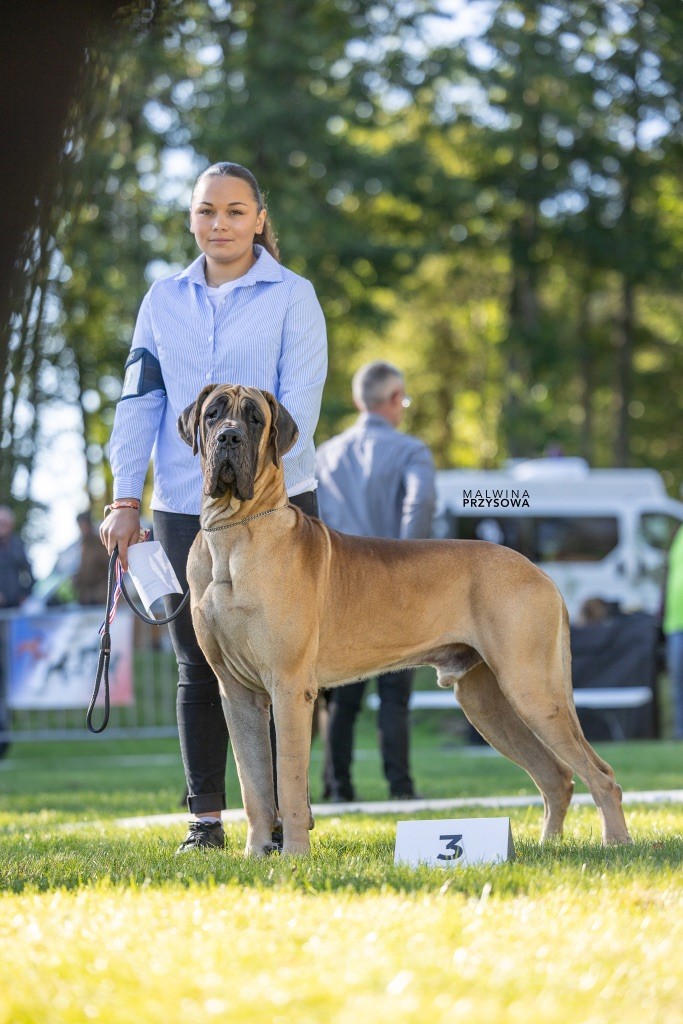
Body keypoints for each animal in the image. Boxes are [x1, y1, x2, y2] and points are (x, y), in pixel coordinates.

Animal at [179, 385, 634, 856]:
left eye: (254, 419)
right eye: (213, 415)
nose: (228, 437)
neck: (233, 534)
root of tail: (540, 572)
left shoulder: (288, 688)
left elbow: (286, 781)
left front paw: (294, 856)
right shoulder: (238, 694)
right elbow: (253, 785)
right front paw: (255, 855)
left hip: (532, 688)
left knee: (601, 774)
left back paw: (616, 842)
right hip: (489, 702)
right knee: (556, 775)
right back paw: (549, 846)